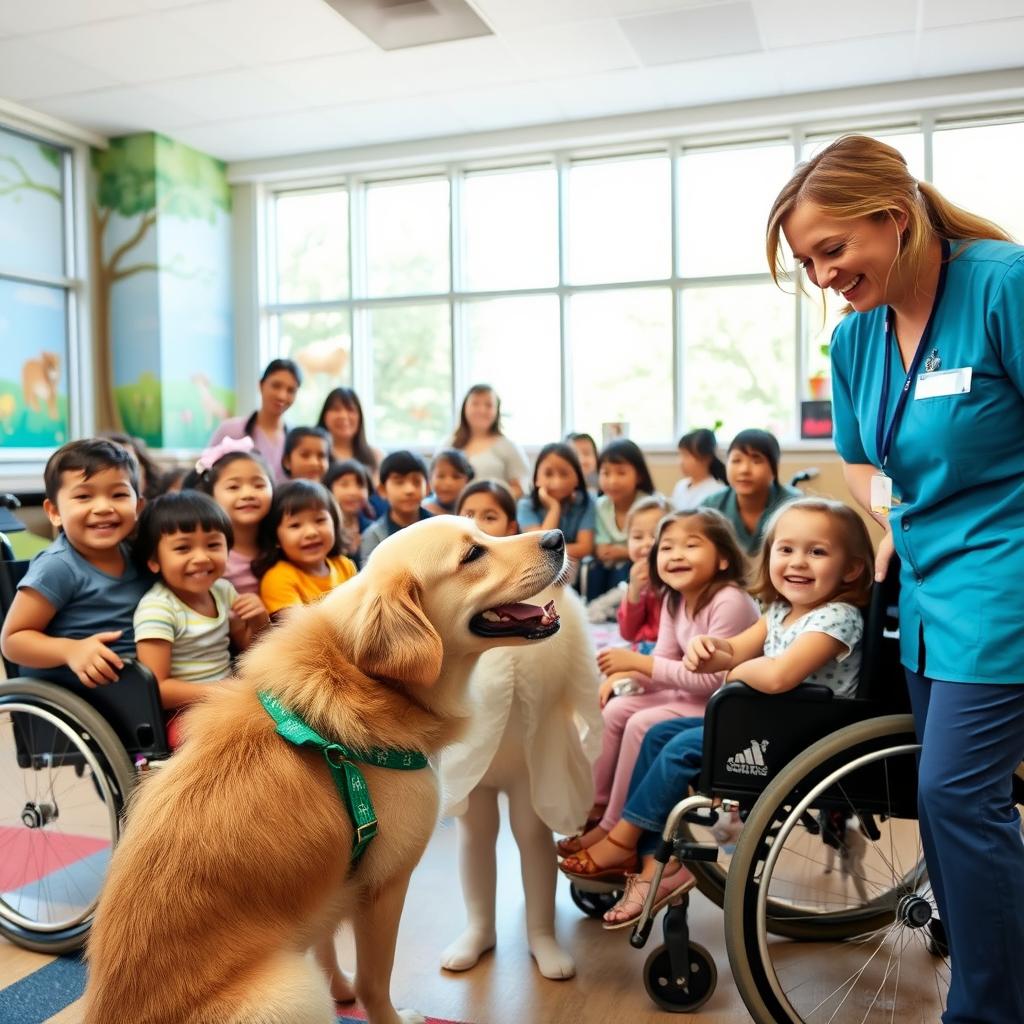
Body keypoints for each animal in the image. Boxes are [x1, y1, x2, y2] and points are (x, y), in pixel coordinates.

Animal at [82, 516, 565, 1024]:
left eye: (483, 533)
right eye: (472, 555)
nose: (557, 539)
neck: (367, 680)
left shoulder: (331, 884)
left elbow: (325, 944)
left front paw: (342, 987)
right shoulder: (384, 886)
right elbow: (375, 982)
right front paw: (389, 1015)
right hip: (292, 988)